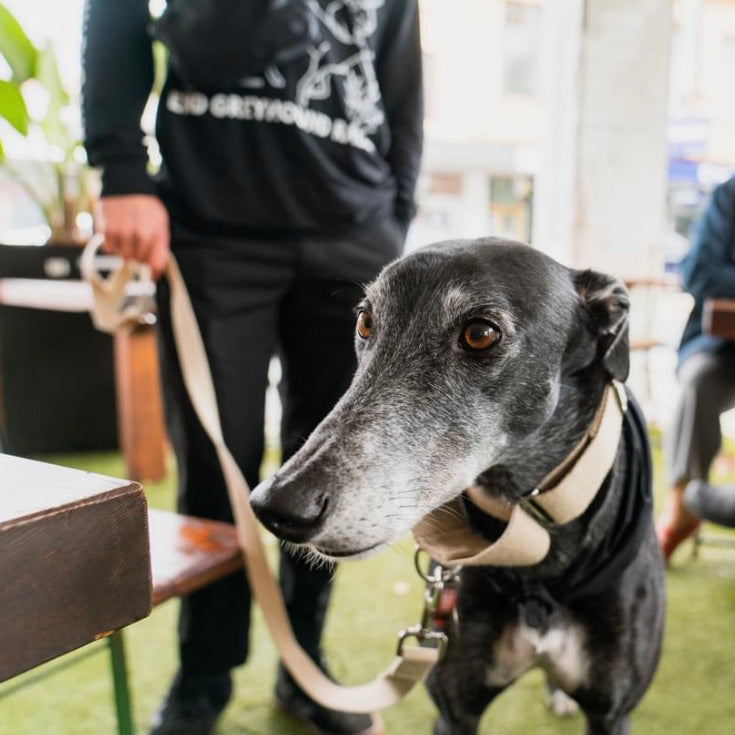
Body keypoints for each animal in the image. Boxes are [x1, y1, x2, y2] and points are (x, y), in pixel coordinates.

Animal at [252, 239, 668, 732]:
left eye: (480, 334)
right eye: (366, 321)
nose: (276, 504)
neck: (535, 559)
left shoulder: (612, 713)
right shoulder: (455, 710)